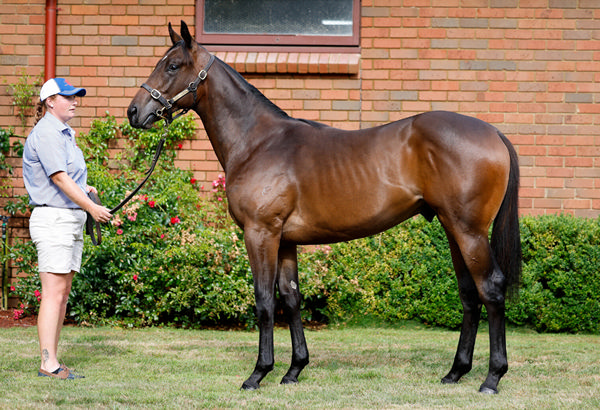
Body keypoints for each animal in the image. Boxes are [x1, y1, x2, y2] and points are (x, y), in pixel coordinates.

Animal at [126, 21, 520, 394]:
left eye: (172, 65)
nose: (134, 112)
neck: (258, 142)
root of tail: (494, 133)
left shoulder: (260, 233)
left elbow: (264, 301)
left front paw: (258, 373)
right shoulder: (284, 240)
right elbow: (291, 298)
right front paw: (293, 370)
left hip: (469, 232)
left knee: (491, 288)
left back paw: (492, 377)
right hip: (453, 229)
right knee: (469, 294)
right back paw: (455, 373)